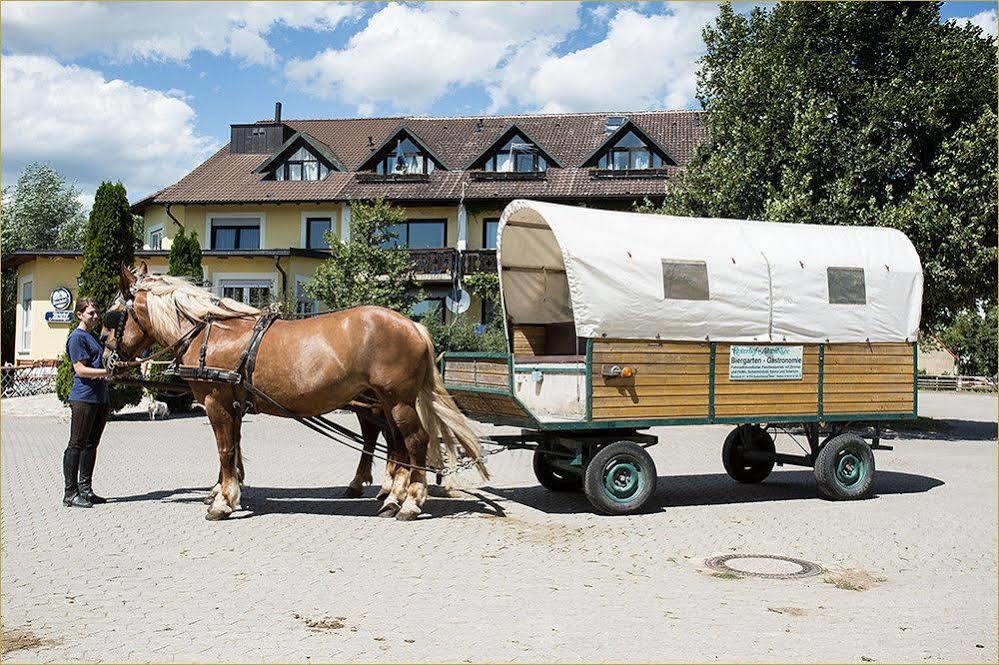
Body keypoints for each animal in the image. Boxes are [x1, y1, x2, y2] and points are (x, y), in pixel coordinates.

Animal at [105, 264, 488, 520]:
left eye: (110, 316)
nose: (108, 360)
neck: (209, 332)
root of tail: (413, 326)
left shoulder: (217, 401)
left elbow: (225, 449)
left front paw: (223, 500)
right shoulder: (234, 403)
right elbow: (234, 449)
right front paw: (229, 491)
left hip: (396, 402)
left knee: (413, 442)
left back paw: (408, 501)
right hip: (382, 401)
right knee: (394, 443)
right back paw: (391, 495)